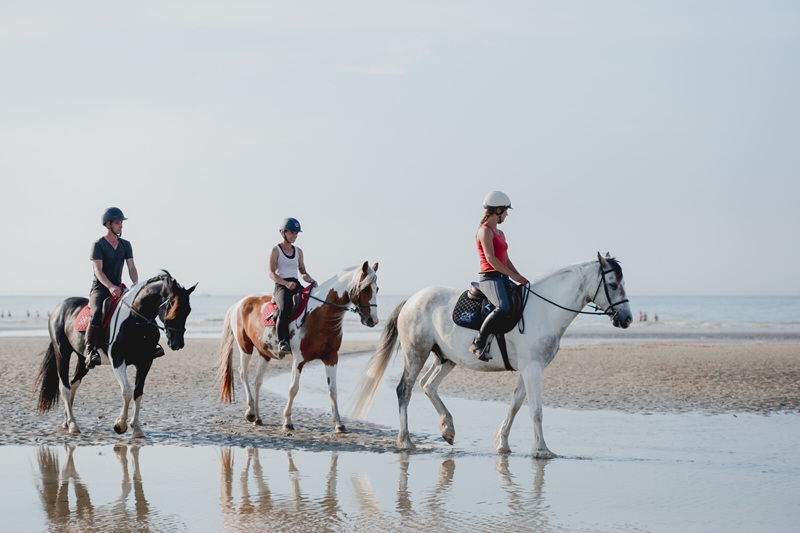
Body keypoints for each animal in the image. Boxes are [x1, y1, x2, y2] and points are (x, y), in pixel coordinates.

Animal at [34, 271, 197, 438]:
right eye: (172, 306)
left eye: (188, 310)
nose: (177, 344)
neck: (136, 319)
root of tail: (59, 307)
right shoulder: (118, 361)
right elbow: (126, 392)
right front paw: (120, 425)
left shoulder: (145, 362)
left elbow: (138, 393)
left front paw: (136, 428)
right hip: (62, 352)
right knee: (65, 387)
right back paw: (73, 425)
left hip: (83, 359)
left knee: (74, 384)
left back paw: (67, 421)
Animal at [218, 261, 379, 432]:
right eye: (366, 289)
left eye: (377, 289)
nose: (373, 320)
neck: (320, 314)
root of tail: (239, 303)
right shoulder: (299, 359)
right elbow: (293, 389)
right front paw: (287, 421)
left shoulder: (331, 358)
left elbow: (333, 391)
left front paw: (339, 423)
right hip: (245, 347)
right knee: (243, 374)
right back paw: (250, 412)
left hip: (265, 353)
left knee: (257, 381)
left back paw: (258, 418)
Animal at [351, 253, 632, 458]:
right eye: (613, 285)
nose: (627, 319)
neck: (544, 310)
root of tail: (412, 299)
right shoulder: (532, 369)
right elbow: (536, 410)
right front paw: (542, 450)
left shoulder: (529, 369)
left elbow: (516, 404)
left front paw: (503, 443)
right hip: (416, 354)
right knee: (405, 389)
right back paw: (406, 440)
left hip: (446, 358)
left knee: (428, 385)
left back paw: (448, 429)